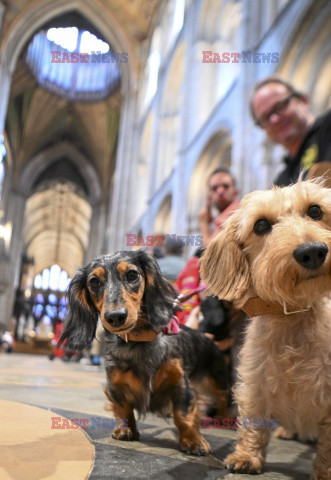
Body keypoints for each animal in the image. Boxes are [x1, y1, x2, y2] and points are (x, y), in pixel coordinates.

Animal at [59, 249, 230, 456]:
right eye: (94, 282)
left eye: (132, 275)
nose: (115, 316)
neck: (139, 341)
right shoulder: (115, 384)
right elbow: (122, 408)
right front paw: (125, 430)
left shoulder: (180, 383)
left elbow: (184, 414)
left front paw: (193, 440)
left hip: (215, 380)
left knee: (224, 396)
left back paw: (223, 417)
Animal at [201, 181, 330, 480]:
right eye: (260, 225)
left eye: (315, 210)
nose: (313, 251)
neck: (294, 316)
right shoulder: (254, 382)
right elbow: (253, 424)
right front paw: (247, 457)